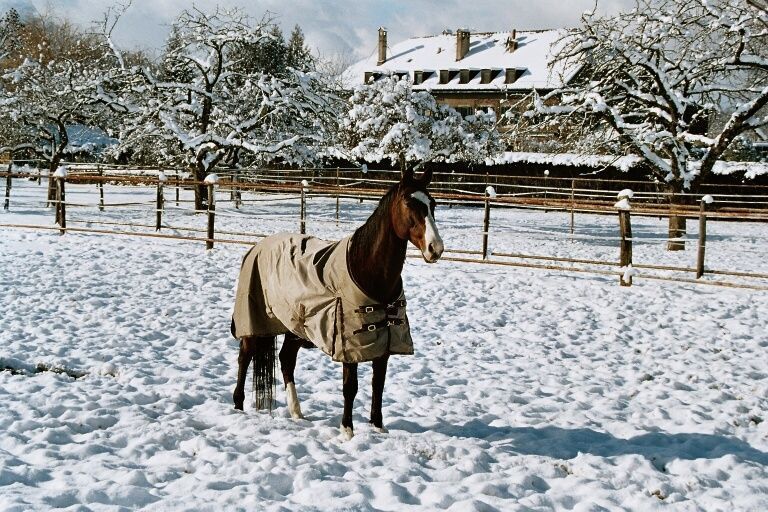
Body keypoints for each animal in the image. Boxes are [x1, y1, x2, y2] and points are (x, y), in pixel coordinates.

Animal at [230, 168, 444, 438]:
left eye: (432, 204)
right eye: (408, 203)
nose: (435, 248)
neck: (365, 269)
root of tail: (258, 246)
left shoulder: (384, 344)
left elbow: (378, 385)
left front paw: (378, 428)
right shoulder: (348, 345)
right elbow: (350, 387)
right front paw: (347, 431)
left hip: (294, 327)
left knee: (286, 360)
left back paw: (297, 413)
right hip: (255, 323)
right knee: (245, 357)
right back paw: (238, 406)